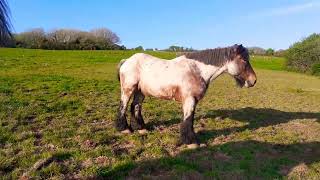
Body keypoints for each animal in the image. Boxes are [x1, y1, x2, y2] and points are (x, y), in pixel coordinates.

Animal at [116, 44, 256, 148]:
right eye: (244, 59)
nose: (253, 81)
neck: (197, 70)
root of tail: (126, 61)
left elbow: (190, 119)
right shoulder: (190, 100)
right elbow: (188, 119)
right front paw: (191, 142)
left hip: (140, 92)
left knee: (135, 106)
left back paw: (140, 128)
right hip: (128, 89)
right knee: (123, 106)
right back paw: (124, 129)